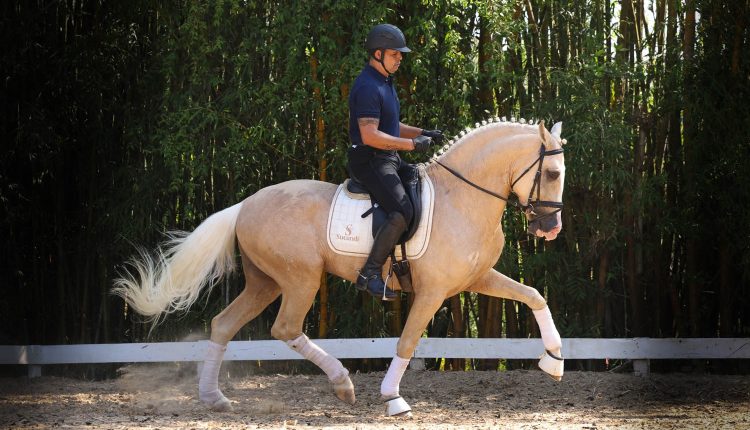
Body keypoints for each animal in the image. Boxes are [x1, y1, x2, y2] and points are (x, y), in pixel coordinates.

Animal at [114, 116, 568, 416]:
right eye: (551, 172)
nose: (550, 229)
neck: (463, 197)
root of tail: (245, 204)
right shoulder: (432, 292)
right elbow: (407, 341)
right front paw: (393, 397)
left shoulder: (476, 278)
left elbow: (534, 295)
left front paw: (554, 360)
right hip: (301, 279)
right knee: (286, 328)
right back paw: (342, 383)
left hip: (265, 283)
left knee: (224, 324)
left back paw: (214, 398)